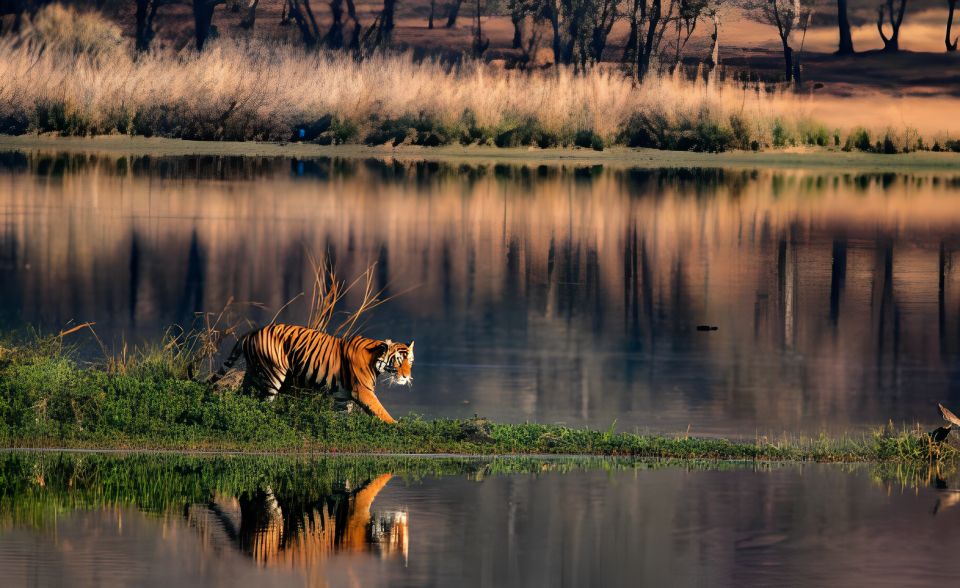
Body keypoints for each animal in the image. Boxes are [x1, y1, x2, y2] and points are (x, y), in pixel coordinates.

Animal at [208, 324, 414, 423]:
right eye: (397, 361)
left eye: (410, 361)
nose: (406, 377)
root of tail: (252, 332)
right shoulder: (363, 391)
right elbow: (381, 411)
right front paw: (397, 425)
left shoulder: (342, 396)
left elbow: (341, 418)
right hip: (273, 374)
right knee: (263, 403)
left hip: (253, 373)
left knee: (244, 396)